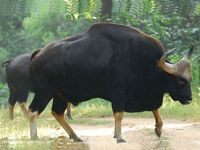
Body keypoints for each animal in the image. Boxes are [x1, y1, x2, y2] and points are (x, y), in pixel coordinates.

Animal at [27, 22, 193, 143]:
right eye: (180, 80)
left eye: (190, 79)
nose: (189, 98)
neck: (147, 63)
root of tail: (38, 54)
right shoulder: (118, 92)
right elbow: (119, 114)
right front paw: (119, 137)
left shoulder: (144, 93)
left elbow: (154, 108)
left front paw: (158, 128)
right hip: (45, 92)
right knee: (33, 111)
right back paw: (35, 138)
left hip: (60, 94)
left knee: (57, 113)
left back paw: (75, 136)